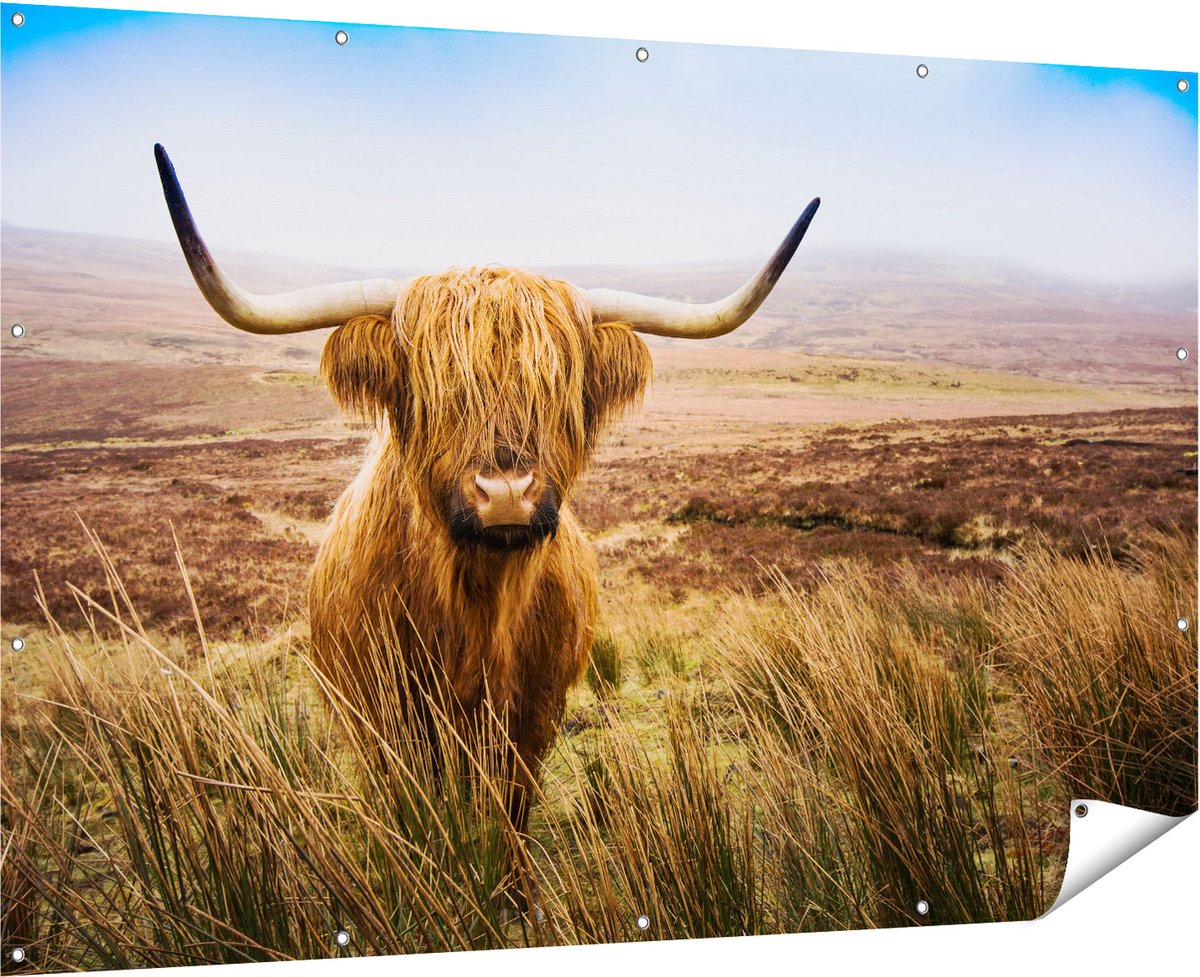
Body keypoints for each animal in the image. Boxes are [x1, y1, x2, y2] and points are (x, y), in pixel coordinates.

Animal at [154, 143, 818, 898]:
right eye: (436, 386)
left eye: (558, 385)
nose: (506, 492)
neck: (476, 607)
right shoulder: (388, 721)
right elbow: (414, 814)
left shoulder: (533, 715)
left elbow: (512, 810)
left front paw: (514, 894)